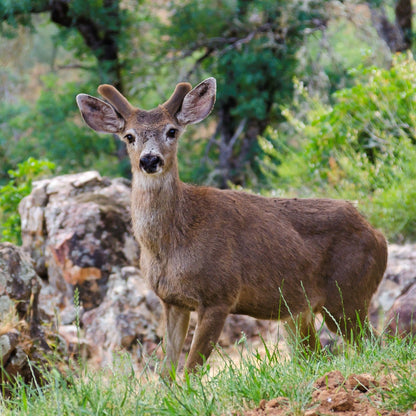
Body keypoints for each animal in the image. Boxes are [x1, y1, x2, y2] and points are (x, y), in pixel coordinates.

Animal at [76, 77, 388, 374]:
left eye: (172, 131)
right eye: (129, 136)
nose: (150, 160)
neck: (173, 242)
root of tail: (377, 235)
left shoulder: (219, 295)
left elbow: (190, 370)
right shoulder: (172, 301)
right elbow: (167, 373)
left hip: (348, 294)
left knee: (375, 343)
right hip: (300, 311)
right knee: (318, 354)